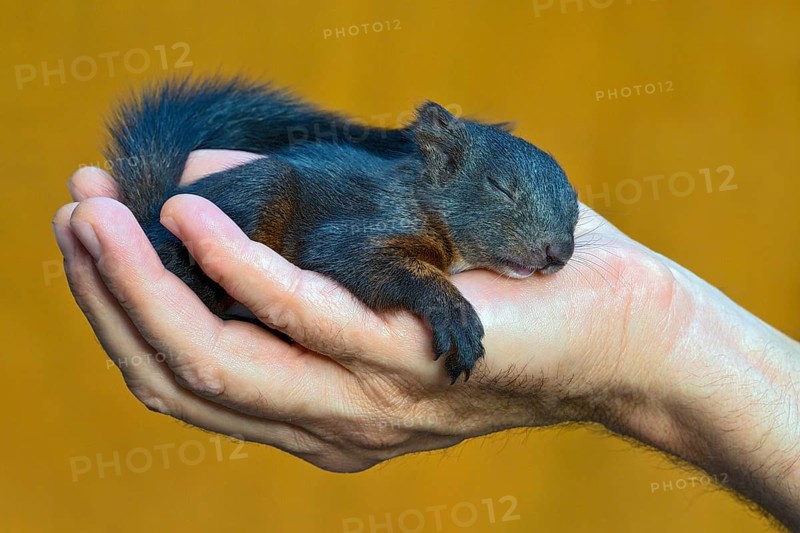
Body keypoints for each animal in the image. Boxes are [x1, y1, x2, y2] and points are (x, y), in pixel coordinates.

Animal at [104, 77, 579, 383]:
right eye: (499, 186)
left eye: (576, 207)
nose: (557, 253)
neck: (422, 200)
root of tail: (153, 218)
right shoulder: (360, 227)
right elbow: (369, 262)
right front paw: (453, 312)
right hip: (259, 192)